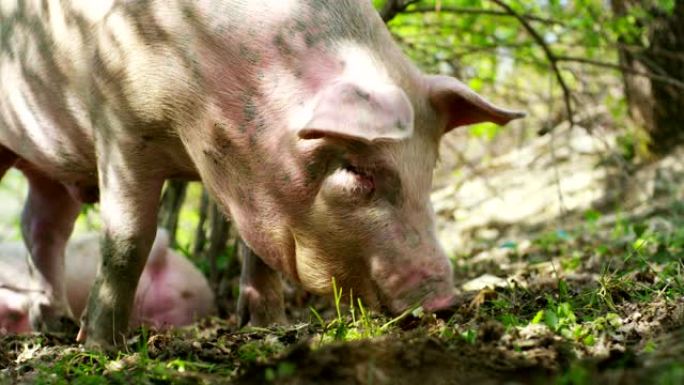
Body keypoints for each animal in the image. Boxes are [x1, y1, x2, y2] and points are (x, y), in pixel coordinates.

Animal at [1, 0, 524, 348]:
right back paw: (62, 333)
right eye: (355, 169)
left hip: (49, 169)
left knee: (41, 225)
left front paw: (267, 326)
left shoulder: (256, 184)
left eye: (429, 166)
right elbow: (130, 240)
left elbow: (257, 250)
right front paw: (101, 348)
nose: (444, 298)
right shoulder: (121, 128)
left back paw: (54, 324)